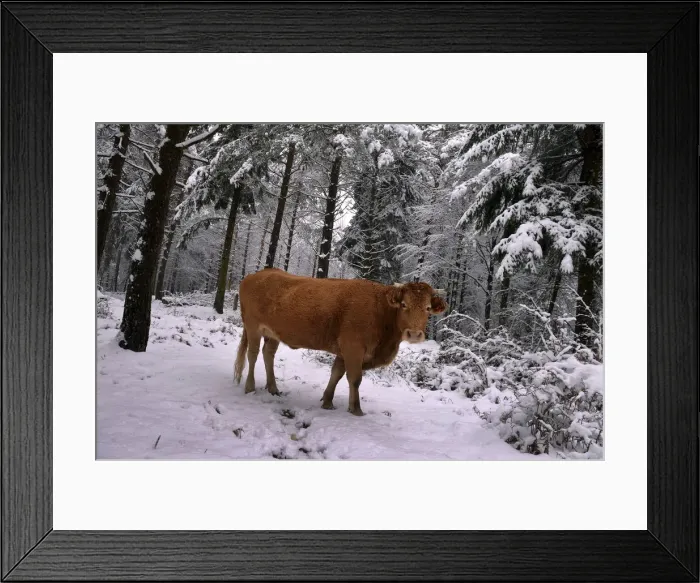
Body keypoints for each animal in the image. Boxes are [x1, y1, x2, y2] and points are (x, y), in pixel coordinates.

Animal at [233, 267, 447, 416]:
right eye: (404, 304)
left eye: (428, 308)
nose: (414, 334)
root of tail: (257, 274)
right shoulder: (353, 347)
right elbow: (355, 378)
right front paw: (356, 409)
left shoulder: (345, 351)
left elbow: (336, 373)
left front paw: (328, 402)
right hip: (253, 327)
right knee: (252, 354)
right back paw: (250, 387)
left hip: (273, 334)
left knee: (268, 354)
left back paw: (273, 388)